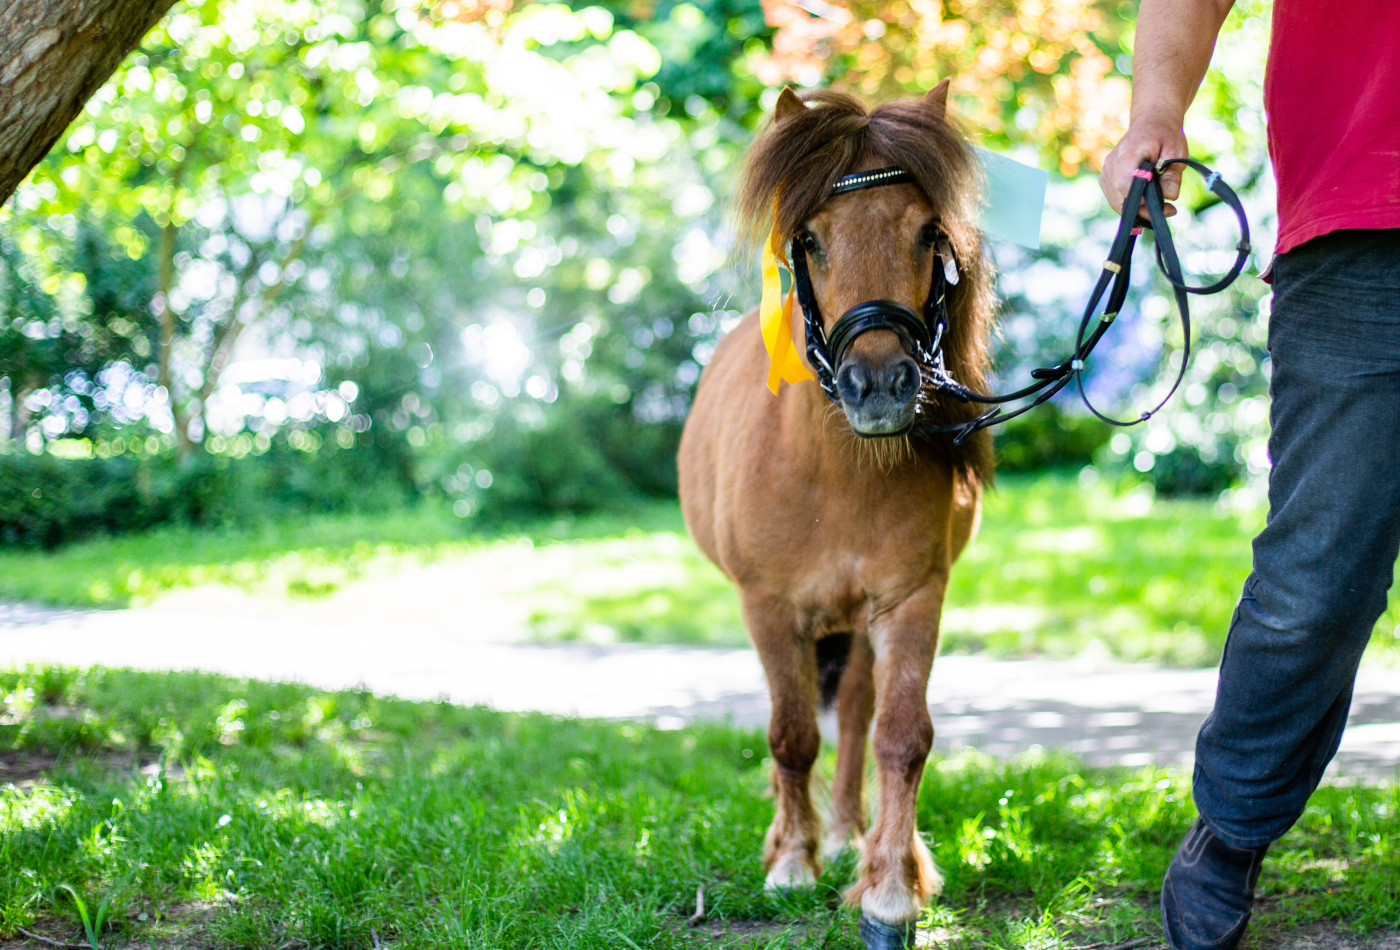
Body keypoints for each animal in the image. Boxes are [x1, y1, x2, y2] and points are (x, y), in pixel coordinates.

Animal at [680, 79, 996, 945]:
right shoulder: (768, 607)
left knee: (855, 712)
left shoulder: (912, 598)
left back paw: (853, 827)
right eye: (811, 240)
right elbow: (790, 734)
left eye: (927, 232)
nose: (879, 385)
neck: (836, 475)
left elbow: (901, 734)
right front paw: (791, 862)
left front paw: (888, 885)